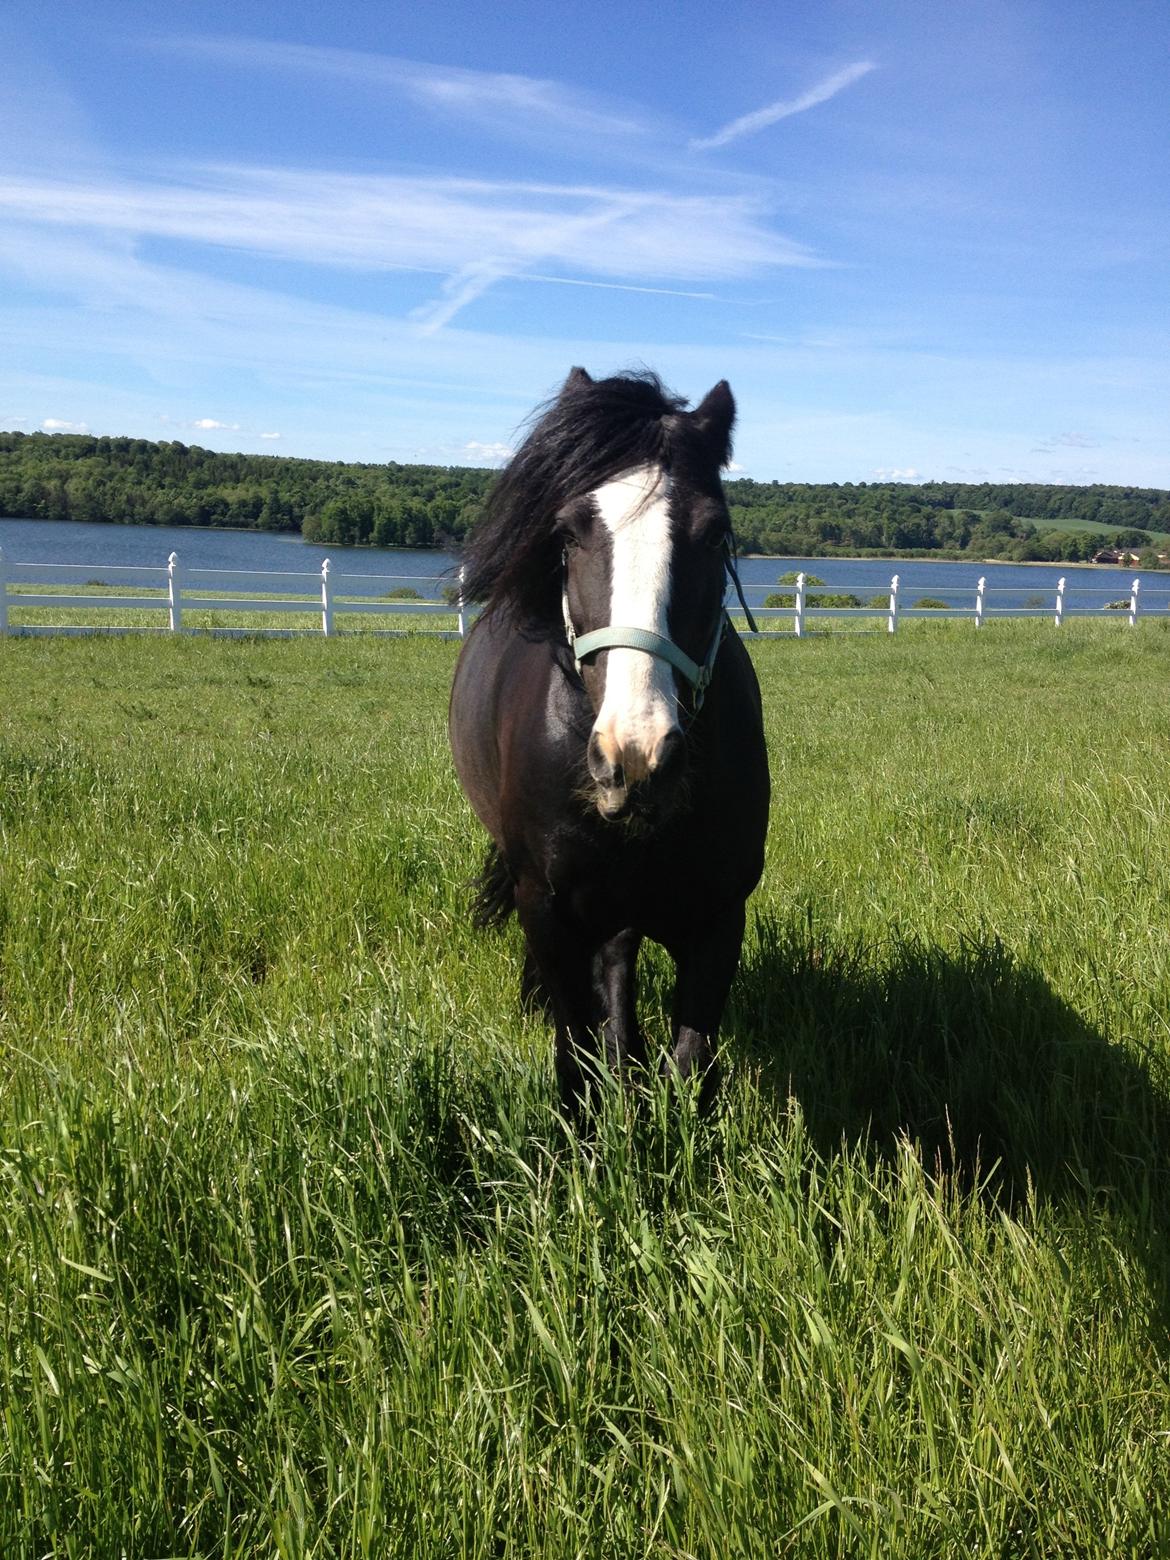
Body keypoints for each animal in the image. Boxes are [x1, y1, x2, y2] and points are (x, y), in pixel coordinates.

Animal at [449, 365, 770, 1110]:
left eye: (716, 536)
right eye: (567, 535)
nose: (637, 755)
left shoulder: (719, 916)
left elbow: (690, 1069)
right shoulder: (549, 911)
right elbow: (575, 1058)